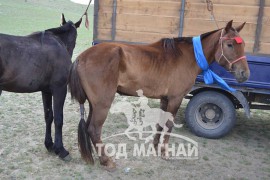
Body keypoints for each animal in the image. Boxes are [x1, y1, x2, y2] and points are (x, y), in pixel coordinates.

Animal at [0, 14, 82, 160]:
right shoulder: (59, 89)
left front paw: (49, 144)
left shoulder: (46, 91)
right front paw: (61, 150)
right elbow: (59, 119)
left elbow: (48, 116)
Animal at [68, 20, 250, 169]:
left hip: (94, 104)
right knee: (94, 129)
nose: (244, 73)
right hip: (103, 104)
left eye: (243, 45)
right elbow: (169, 125)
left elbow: (160, 124)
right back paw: (106, 161)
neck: (189, 57)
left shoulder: (165, 99)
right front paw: (164, 152)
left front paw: (156, 147)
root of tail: (82, 57)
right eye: (230, 45)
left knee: (89, 128)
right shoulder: (176, 99)